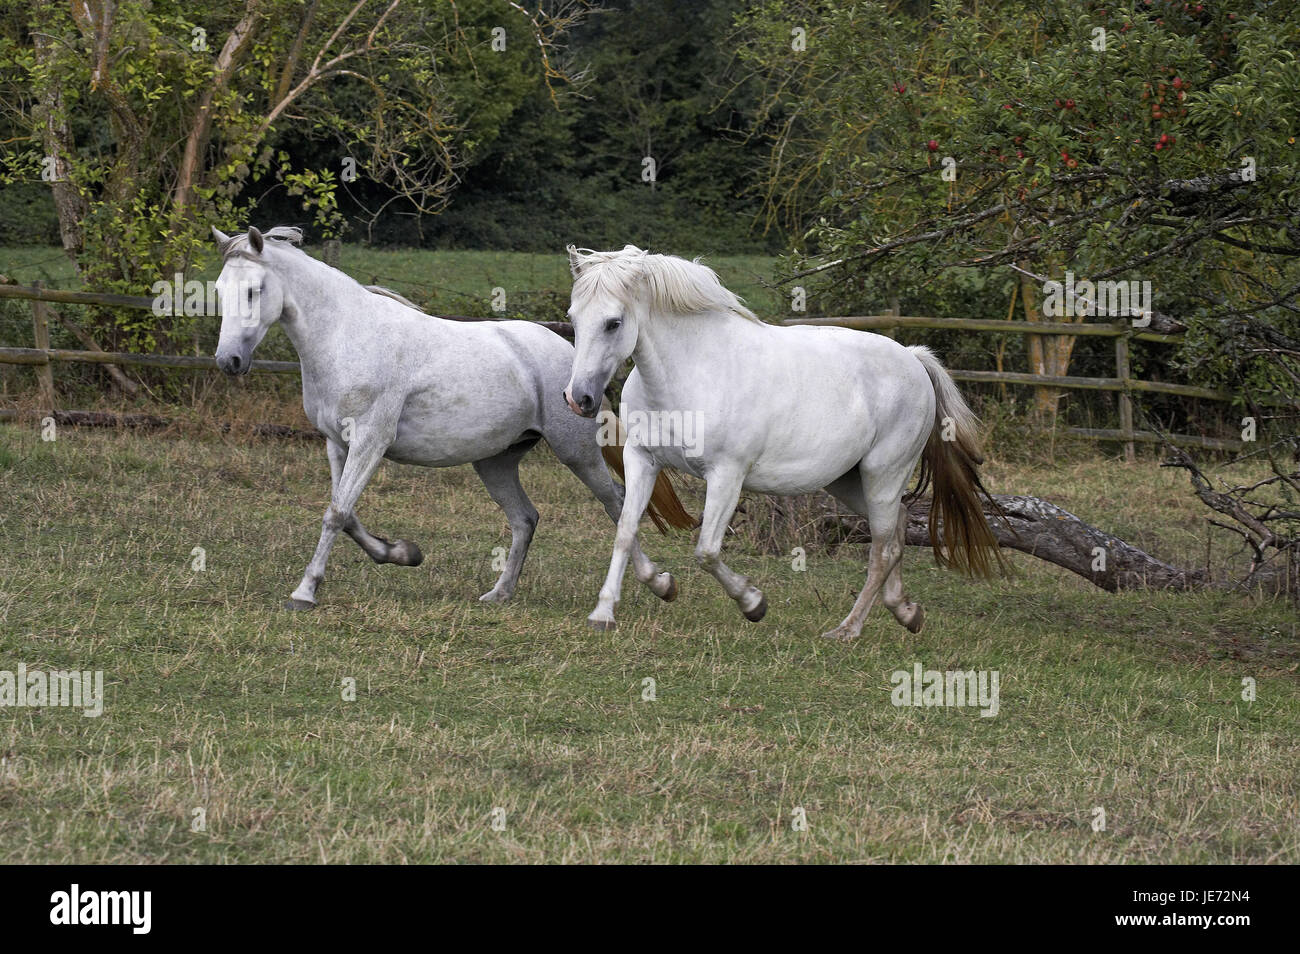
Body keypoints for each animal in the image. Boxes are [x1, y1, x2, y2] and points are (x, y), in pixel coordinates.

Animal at [208, 227, 691, 608]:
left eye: (253, 290)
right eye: (218, 290)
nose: (229, 361)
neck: (347, 336)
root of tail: (575, 366)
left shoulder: (369, 441)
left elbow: (336, 513)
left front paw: (305, 592)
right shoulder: (337, 443)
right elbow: (344, 513)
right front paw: (403, 553)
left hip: (576, 452)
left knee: (615, 501)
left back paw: (661, 584)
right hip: (495, 461)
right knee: (525, 518)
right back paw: (499, 594)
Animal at [561, 246, 1003, 639]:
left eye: (613, 323)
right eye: (573, 318)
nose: (578, 398)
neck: (692, 371)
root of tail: (912, 358)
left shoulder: (726, 475)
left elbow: (706, 551)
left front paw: (753, 603)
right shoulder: (642, 460)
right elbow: (625, 528)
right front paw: (613, 608)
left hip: (884, 474)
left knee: (883, 549)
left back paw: (848, 630)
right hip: (847, 481)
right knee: (896, 529)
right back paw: (906, 612)